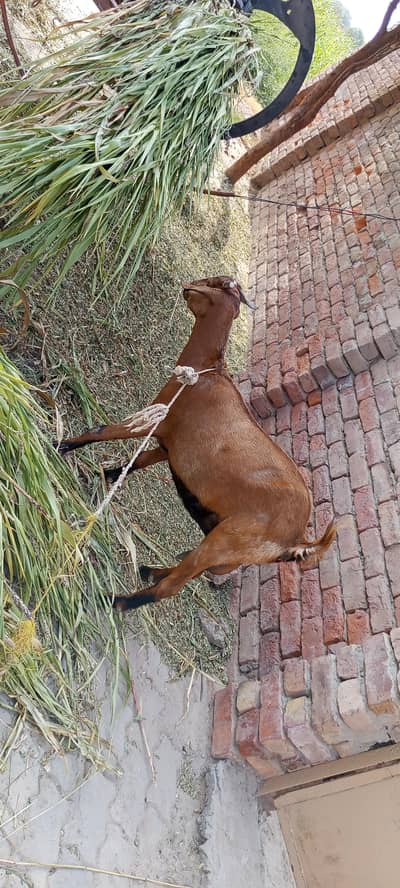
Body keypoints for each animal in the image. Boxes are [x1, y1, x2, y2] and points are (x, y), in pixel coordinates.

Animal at [58, 275, 336, 610]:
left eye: (210, 282)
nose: (184, 288)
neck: (204, 373)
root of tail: (296, 542)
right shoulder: (169, 446)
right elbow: (138, 462)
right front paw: (105, 475)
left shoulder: (158, 419)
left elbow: (103, 431)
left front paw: (60, 445)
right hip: (226, 551)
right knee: (189, 569)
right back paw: (150, 570)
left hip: (226, 540)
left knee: (172, 587)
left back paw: (115, 600)